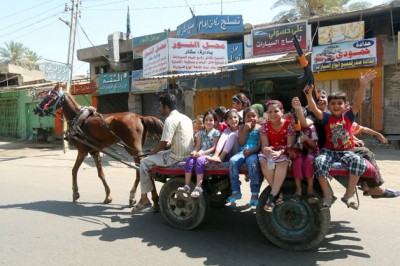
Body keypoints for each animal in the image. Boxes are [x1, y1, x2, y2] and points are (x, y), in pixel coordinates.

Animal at [33, 88, 162, 209]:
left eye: (50, 96)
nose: (35, 109)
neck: (77, 117)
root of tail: (140, 117)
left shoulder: (82, 151)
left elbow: (74, 170)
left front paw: (75, 193)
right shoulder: (94, 151)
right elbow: (101, 174)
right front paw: (108, 196)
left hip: (133, 148)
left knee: (141, 169)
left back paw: (145, 198)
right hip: (134, 149)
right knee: (141, 169)